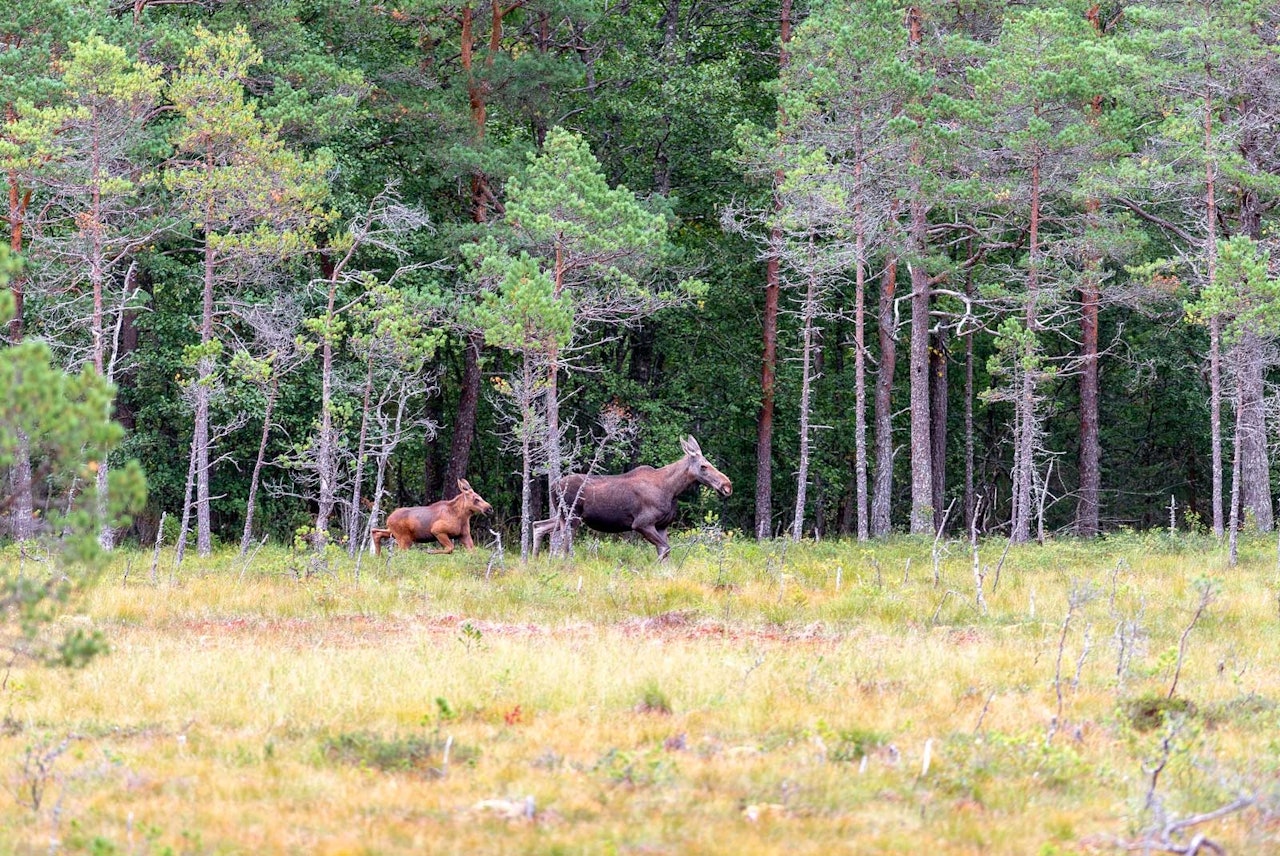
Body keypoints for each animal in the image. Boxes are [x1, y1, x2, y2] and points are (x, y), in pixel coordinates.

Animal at [529, 435, 732, 560]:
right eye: (704, 466)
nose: (727, 486)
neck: (672, 490)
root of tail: (553, 486)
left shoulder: (662, 525)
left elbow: (665, 552)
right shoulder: (642, 523)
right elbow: (665, 550)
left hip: (562, 516)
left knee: (539, 526)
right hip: (572, 517)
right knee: (564, 544)